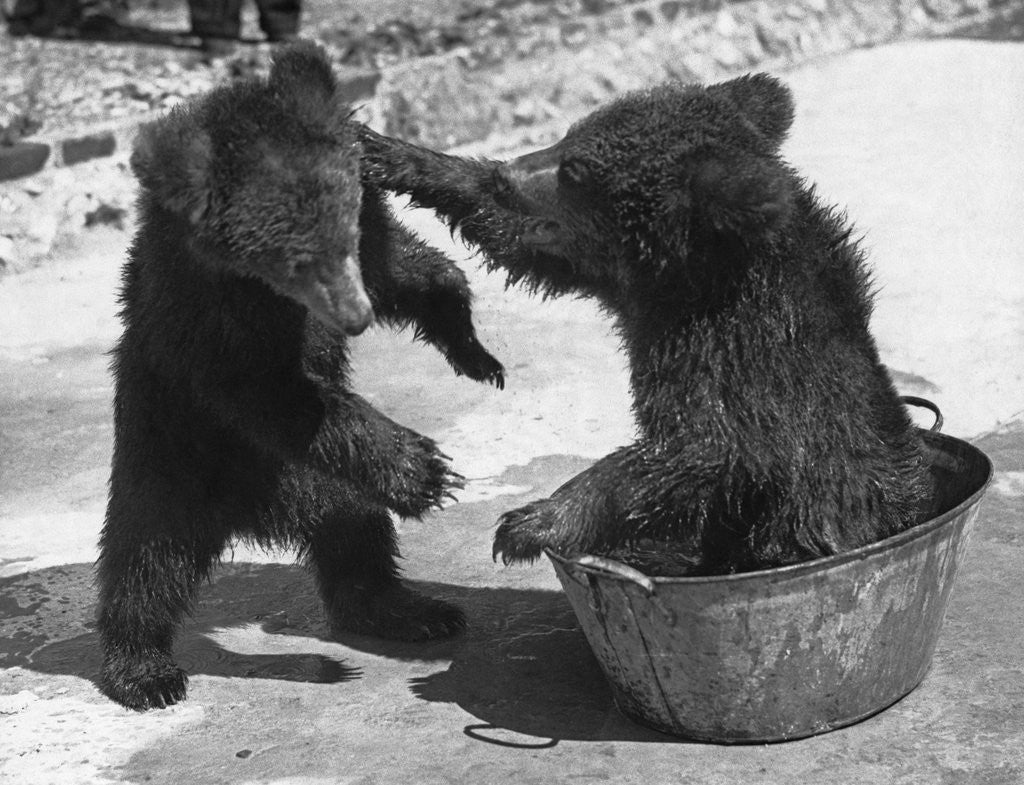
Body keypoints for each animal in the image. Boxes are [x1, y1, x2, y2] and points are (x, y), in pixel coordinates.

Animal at [97, 41, 504, 710]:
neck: (261, 293)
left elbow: (410, 271)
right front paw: (427, 469)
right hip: (171, 468)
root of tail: (251, 516)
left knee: (356, 532)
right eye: (291, 258)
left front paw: (476, 354)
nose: (356, 320)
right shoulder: (205, 316)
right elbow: (270, 391)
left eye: (344, 231)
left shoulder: (368, 252)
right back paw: (143, 669)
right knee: (145, 565)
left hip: (321, 482)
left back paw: (413, 610)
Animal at [358, 73, 931, 576]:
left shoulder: (737, 356)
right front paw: (388, 152)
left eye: (575, 170)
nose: (510, 174)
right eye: (568, 135)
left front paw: (531, 523)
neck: (686, 280)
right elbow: (513, 238)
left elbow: (703, 450)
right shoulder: (624, 285)